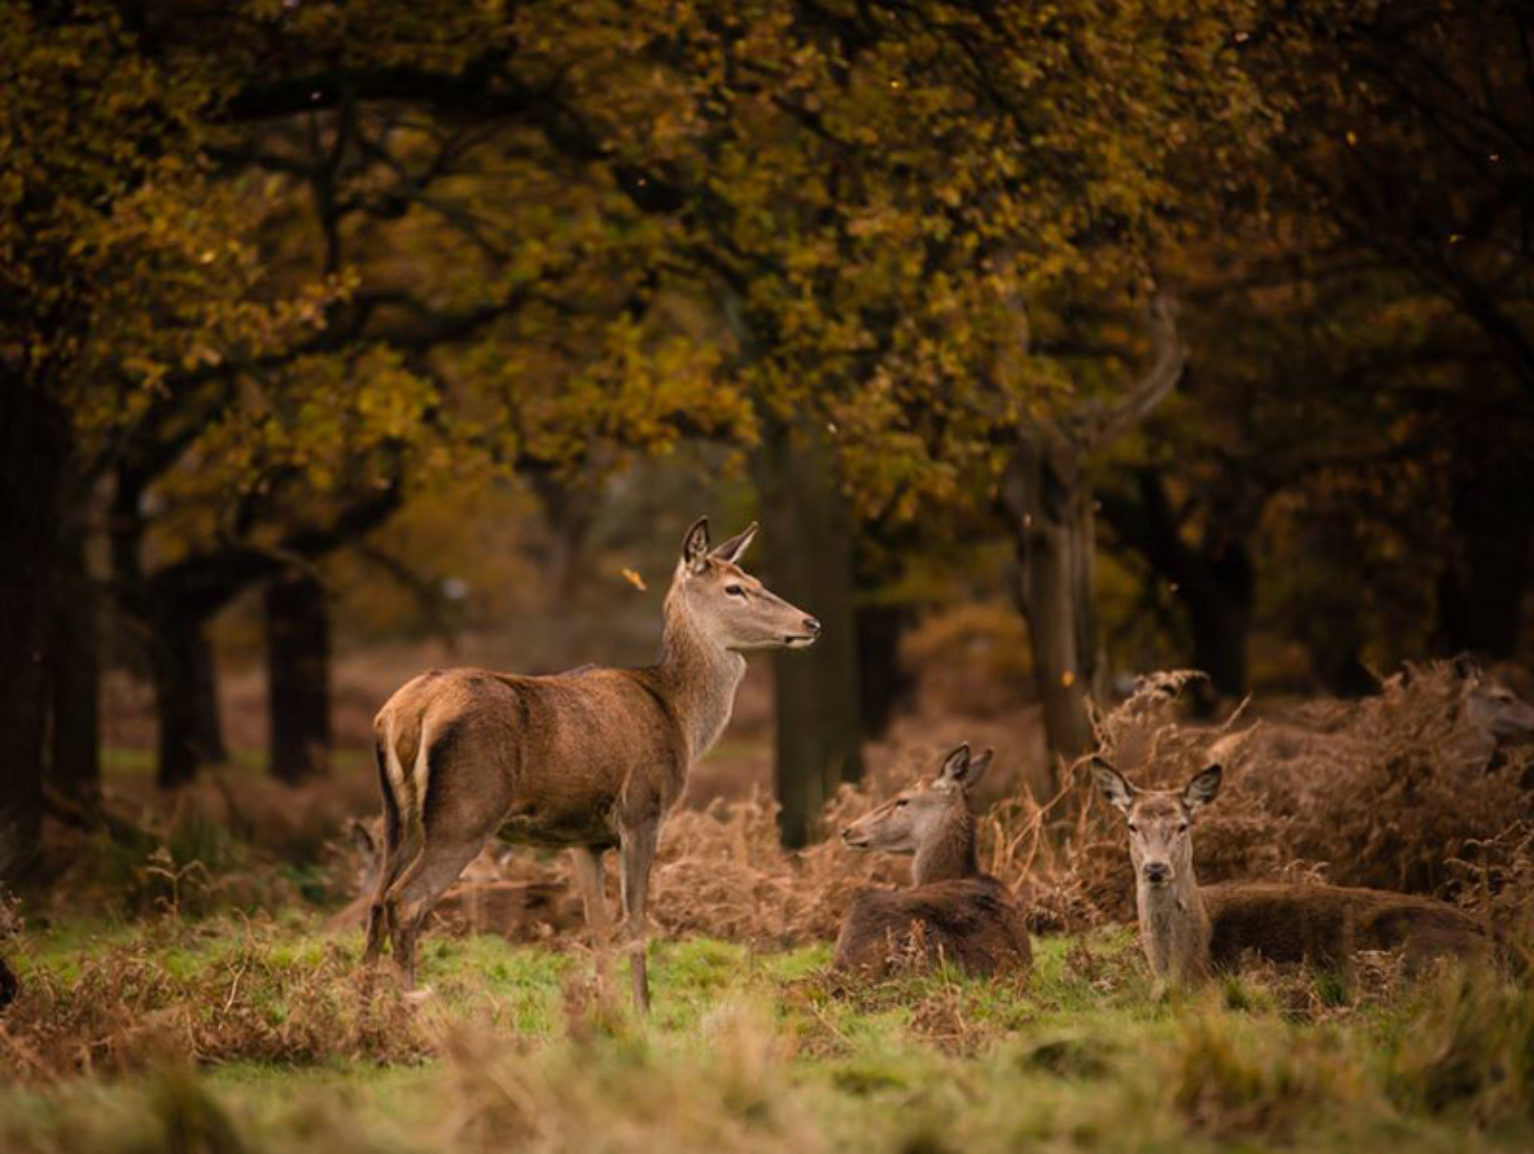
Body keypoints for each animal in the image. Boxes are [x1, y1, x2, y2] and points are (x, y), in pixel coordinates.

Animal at [365, 515, 822, 1006]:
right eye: (735, 588)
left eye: (757, 581)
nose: (811, 621)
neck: (679, 715)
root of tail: (406, 712)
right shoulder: (642, 810)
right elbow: (634, 921)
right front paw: (643, 1009)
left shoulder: (583, 839)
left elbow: (596, 925)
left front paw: (607, 1007)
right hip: (465, 813)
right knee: (404, 901)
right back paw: (411, 1007)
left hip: (396, 816)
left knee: (375, 899)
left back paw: (363, 1005)